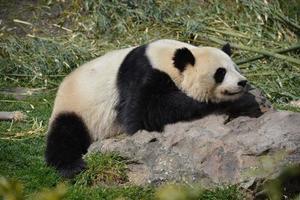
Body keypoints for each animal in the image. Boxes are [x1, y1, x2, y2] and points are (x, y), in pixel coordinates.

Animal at [45, 39, 248, 178]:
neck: (165, 58)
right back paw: (71, 167)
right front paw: (204, 102)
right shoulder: (141, 74)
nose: (242, 82)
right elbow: (141, 114)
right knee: (65, 134)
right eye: (220, 73)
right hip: (76, 108)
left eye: (236, 68)